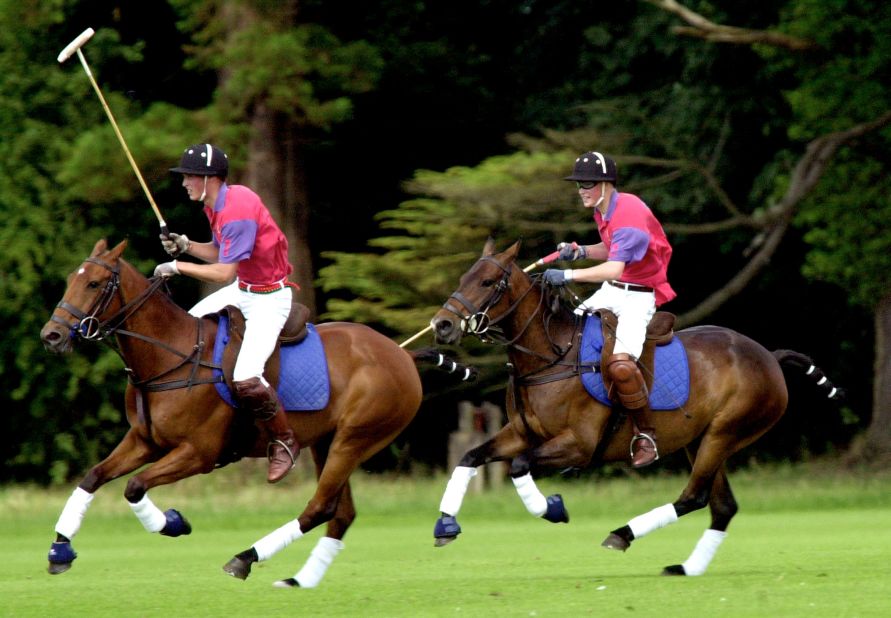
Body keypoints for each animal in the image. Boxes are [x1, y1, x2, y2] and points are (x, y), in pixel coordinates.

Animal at [40, 237, 474, 588]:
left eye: (94, 283)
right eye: (71, 279)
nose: (52, 335)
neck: (170, 356)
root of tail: (401, 354)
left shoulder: (199, 453)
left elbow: (134, 486)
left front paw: (174, 523)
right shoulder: (145, 440)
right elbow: (93, 476)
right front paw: (60, 550)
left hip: (357, 437)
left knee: (320, 507)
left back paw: (244, 558)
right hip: (327, 441)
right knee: (341, 512)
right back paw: (298, 580)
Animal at [430, 238, 844, 576]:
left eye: (487, 282)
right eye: (464, 277)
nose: (442, 325)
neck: (552, 355)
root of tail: (770, 357)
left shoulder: (579, 445)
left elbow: (519, 465)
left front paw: (553, 508)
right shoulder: (520, 433)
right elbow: (470, 456)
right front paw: (445, 526)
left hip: (725, 432)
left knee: (694, 497)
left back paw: (623, 534)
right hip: (701, 439)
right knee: (722, 506)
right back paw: (686, 568)